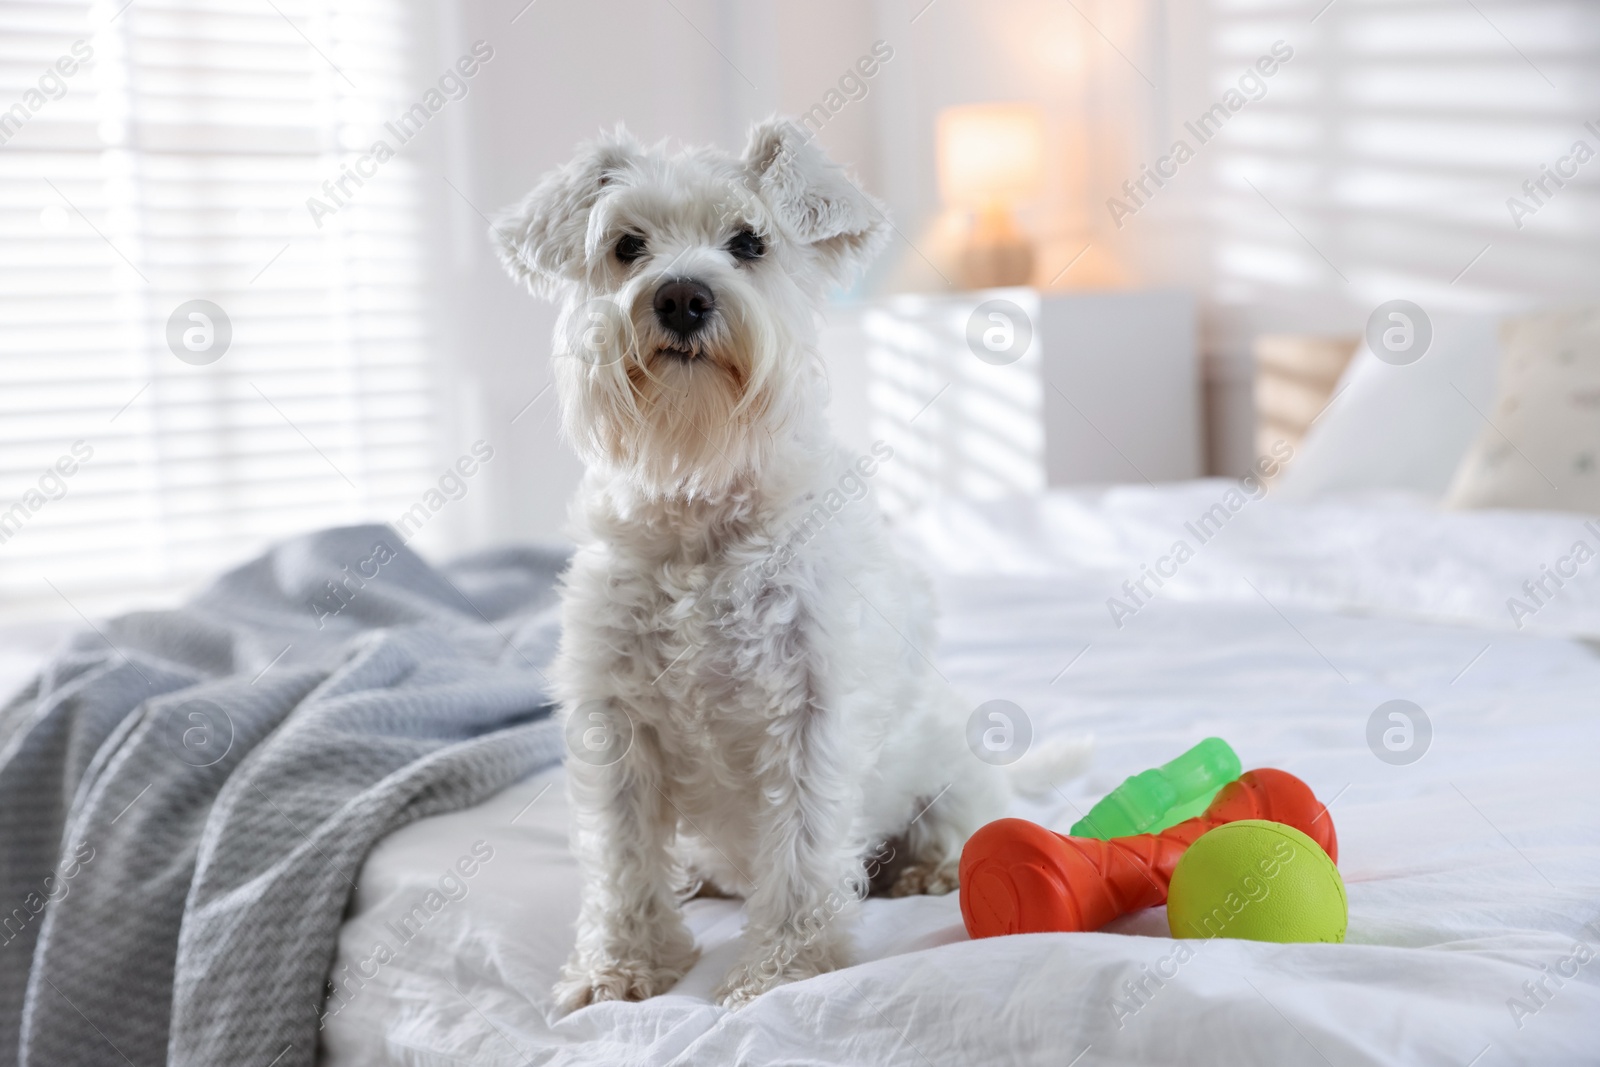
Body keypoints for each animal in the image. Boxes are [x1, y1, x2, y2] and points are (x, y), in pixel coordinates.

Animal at [492, 120, 1004, 1017]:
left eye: (749, 241)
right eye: (626, 245)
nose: (682, 297)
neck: (702, 504)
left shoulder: (810, 711)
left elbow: (801, 849)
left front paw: (785, 970)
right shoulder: (614, 718)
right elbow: (621, 857)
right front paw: (620, 965)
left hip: (950, 766)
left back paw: (926, 866)